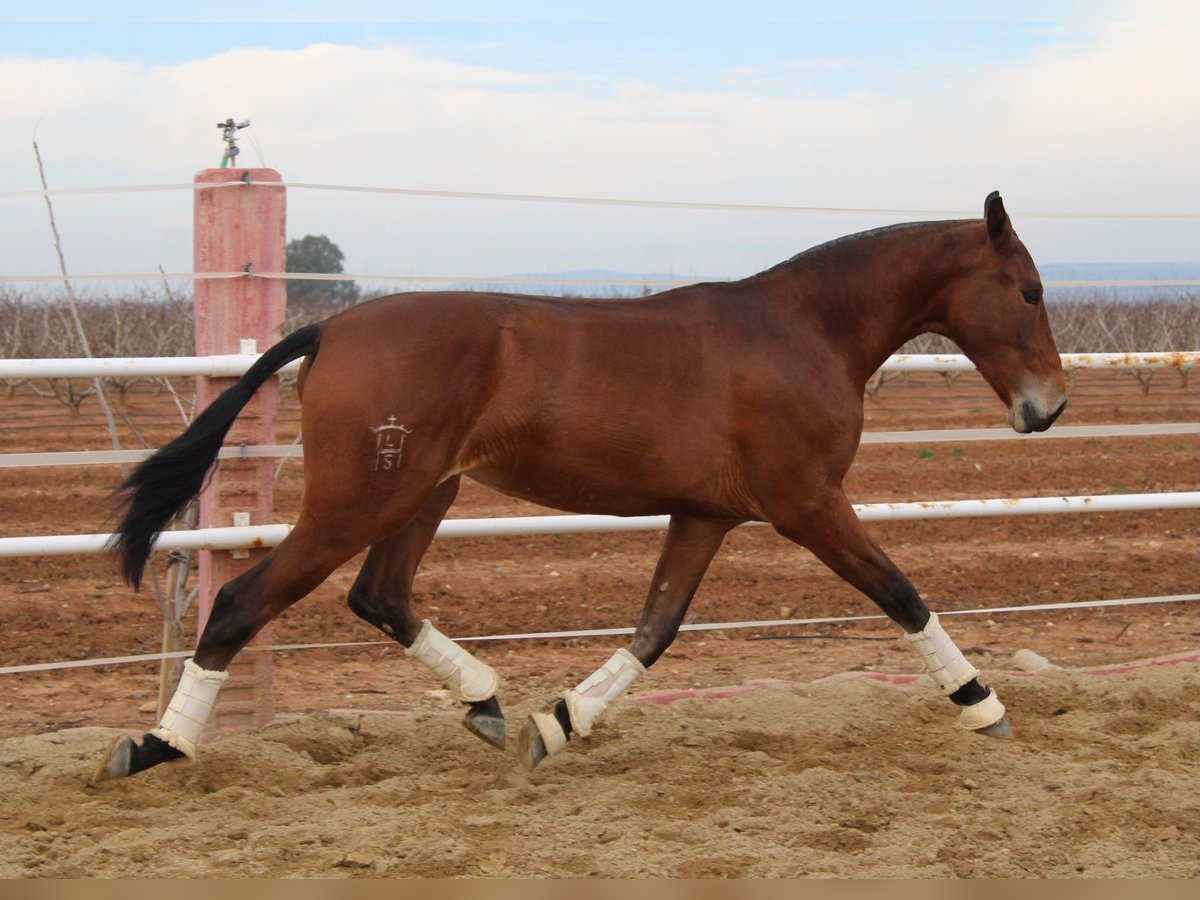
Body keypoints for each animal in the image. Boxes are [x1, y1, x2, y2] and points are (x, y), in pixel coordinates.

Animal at [96, 192, 1070, 782]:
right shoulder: (808, 505)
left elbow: (655, 630)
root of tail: (329, 329)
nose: (1049, 407)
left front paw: (557, 721)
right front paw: (984, 708)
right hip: (359, 501)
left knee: (380, 596)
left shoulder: (706, 514)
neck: (804, 331)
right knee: (243, 604)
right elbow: (901, 593)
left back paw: (486, 703)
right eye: (1029, 289)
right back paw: (153, 747)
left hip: (424, 495)